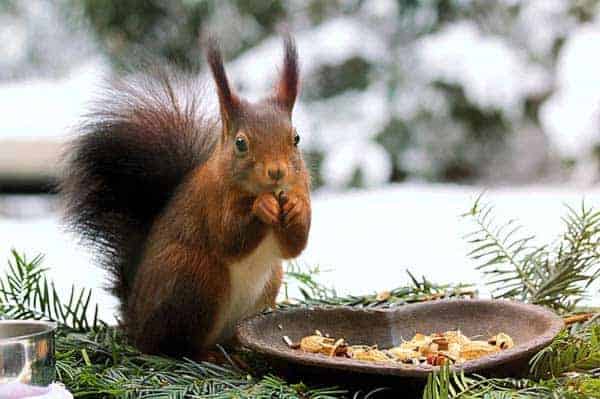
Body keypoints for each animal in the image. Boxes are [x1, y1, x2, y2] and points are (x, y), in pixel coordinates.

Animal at [62, 36, 312, 358]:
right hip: (196, 277)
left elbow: (294, 247)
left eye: (296, 139)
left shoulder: (299, 187)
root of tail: (136, 323)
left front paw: (296, 208)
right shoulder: (211, 201)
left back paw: (236, 349)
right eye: (240, 143)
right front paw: (263, 206)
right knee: (174, 346)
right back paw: (206, 355)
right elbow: (229, 239)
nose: (277, 172)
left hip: (269, 281)